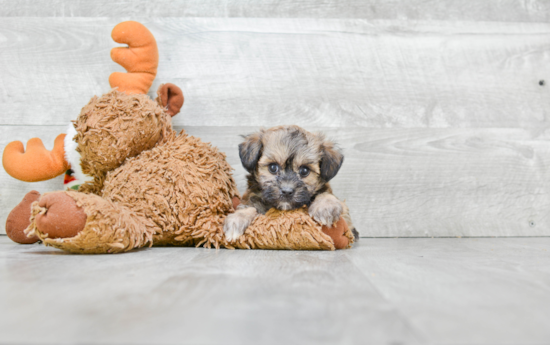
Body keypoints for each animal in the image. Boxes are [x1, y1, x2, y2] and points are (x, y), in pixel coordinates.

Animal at [224, 125, 358, 241]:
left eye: (304, 170)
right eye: (273, 168)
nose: (287, 191)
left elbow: (325, 194)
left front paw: (325, 207)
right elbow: (249, 207)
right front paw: (238, 218)